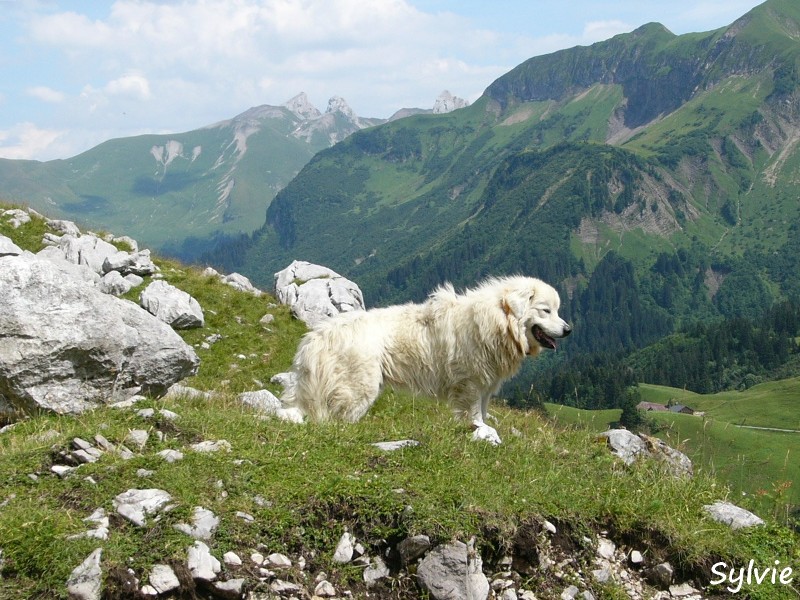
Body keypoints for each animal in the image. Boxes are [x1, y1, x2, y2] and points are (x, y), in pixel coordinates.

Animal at [278, 274, 572, 442]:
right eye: (546, 310)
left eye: (557, 310)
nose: (569, 330)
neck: (498, 320)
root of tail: (318, 337)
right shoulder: (470, 384)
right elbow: (474, 413)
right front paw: (481, 432)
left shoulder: (485, 386)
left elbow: (483, 411)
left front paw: (484, 430)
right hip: (358, 389)